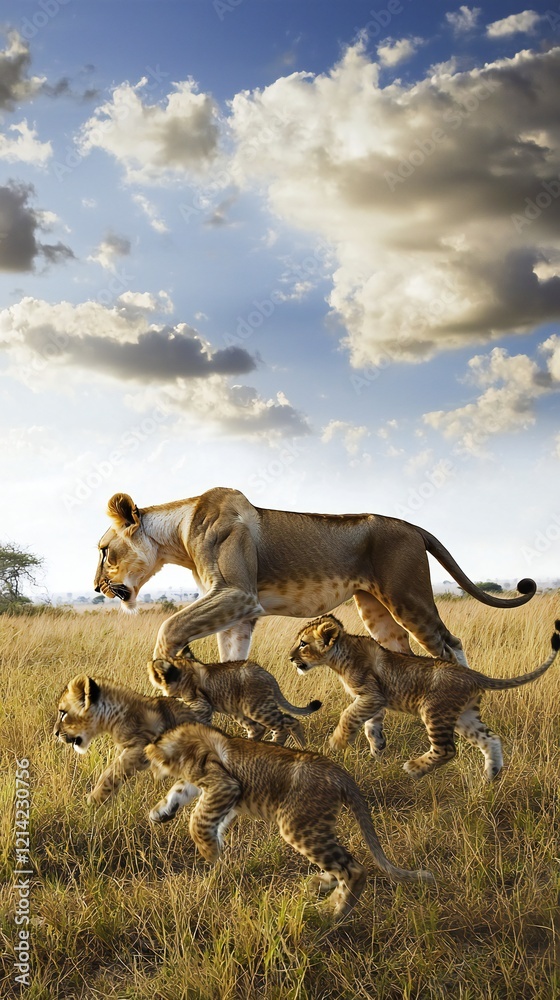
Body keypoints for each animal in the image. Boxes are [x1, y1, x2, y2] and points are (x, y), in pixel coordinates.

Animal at [54, 674, 203, 804]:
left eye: (63, 713)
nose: (55, 733)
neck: (112, 717)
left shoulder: (142, 746)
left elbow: (112, 773)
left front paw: (94, 800)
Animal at [93, 488, 536, 667]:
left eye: (102, 551)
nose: (96, 588)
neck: (178, 535)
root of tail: (412, 526)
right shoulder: (239, 612)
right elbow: (231, 660)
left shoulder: (237, 593)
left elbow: (169, 626)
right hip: (376, 609)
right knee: (403, 651)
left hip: (407, 596)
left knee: (449, 645)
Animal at [145, 721, 434, 921]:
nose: (150, 770)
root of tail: (340, 773)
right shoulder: (214, 788)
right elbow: (181, 792)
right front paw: (161, 813)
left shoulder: (224, 784)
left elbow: (197, 819)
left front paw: (211, 851)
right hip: (314, 826)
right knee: (342, 865)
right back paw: (320, 885)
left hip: (297, 825)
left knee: (354, 869)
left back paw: (330, 912)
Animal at [148, 654, 322, 746]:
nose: (150, 666)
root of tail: (266, 674)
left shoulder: (202, 706)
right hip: (239, 710)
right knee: (267, 726)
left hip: (257, 708)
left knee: (284, 723)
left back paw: (276, 744)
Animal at [290, 617, 560, 781]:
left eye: (303, 644)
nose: (291, 658)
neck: (339, 656)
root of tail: (472, 673)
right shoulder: (373, 700)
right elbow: (370, 726)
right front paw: (376, 750)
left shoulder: (371, 695)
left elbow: (348, 716)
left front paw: (337, 742)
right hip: (465, 716)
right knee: (491, 739)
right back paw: (490, 777)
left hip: (434, 711)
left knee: (447, 750)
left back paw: (415, 768)